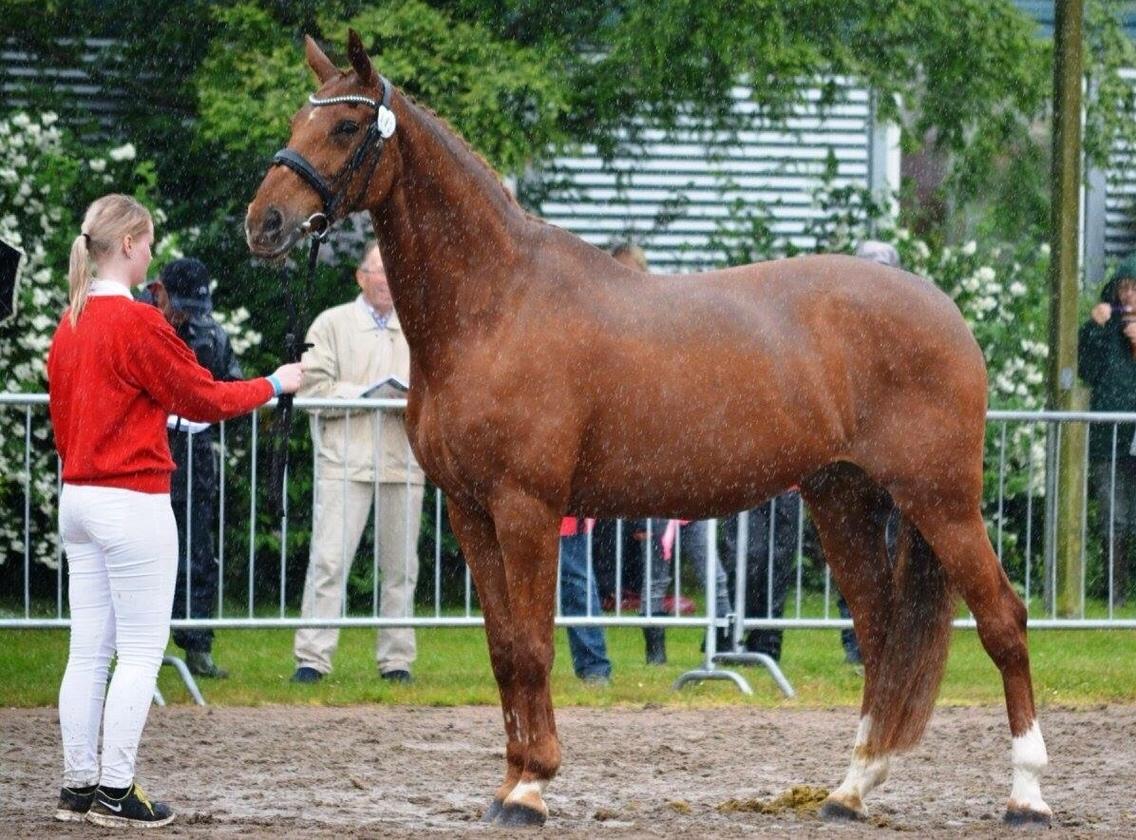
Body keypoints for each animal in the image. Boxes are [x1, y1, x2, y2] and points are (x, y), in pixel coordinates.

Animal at [244, 31, 1049, 827]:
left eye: (346, 126)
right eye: (297, 119)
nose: (264, 223)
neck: (496, 304)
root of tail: (944, 311)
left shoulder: (526, 508)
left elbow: (533, 647)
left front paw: (532, 789)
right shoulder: (471, 511)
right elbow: (503, 650)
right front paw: (508, 784)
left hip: (940, 499)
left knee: (1003, 621)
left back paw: (1027, 796)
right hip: (845, 499)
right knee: (884, 636)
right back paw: (851, 790)